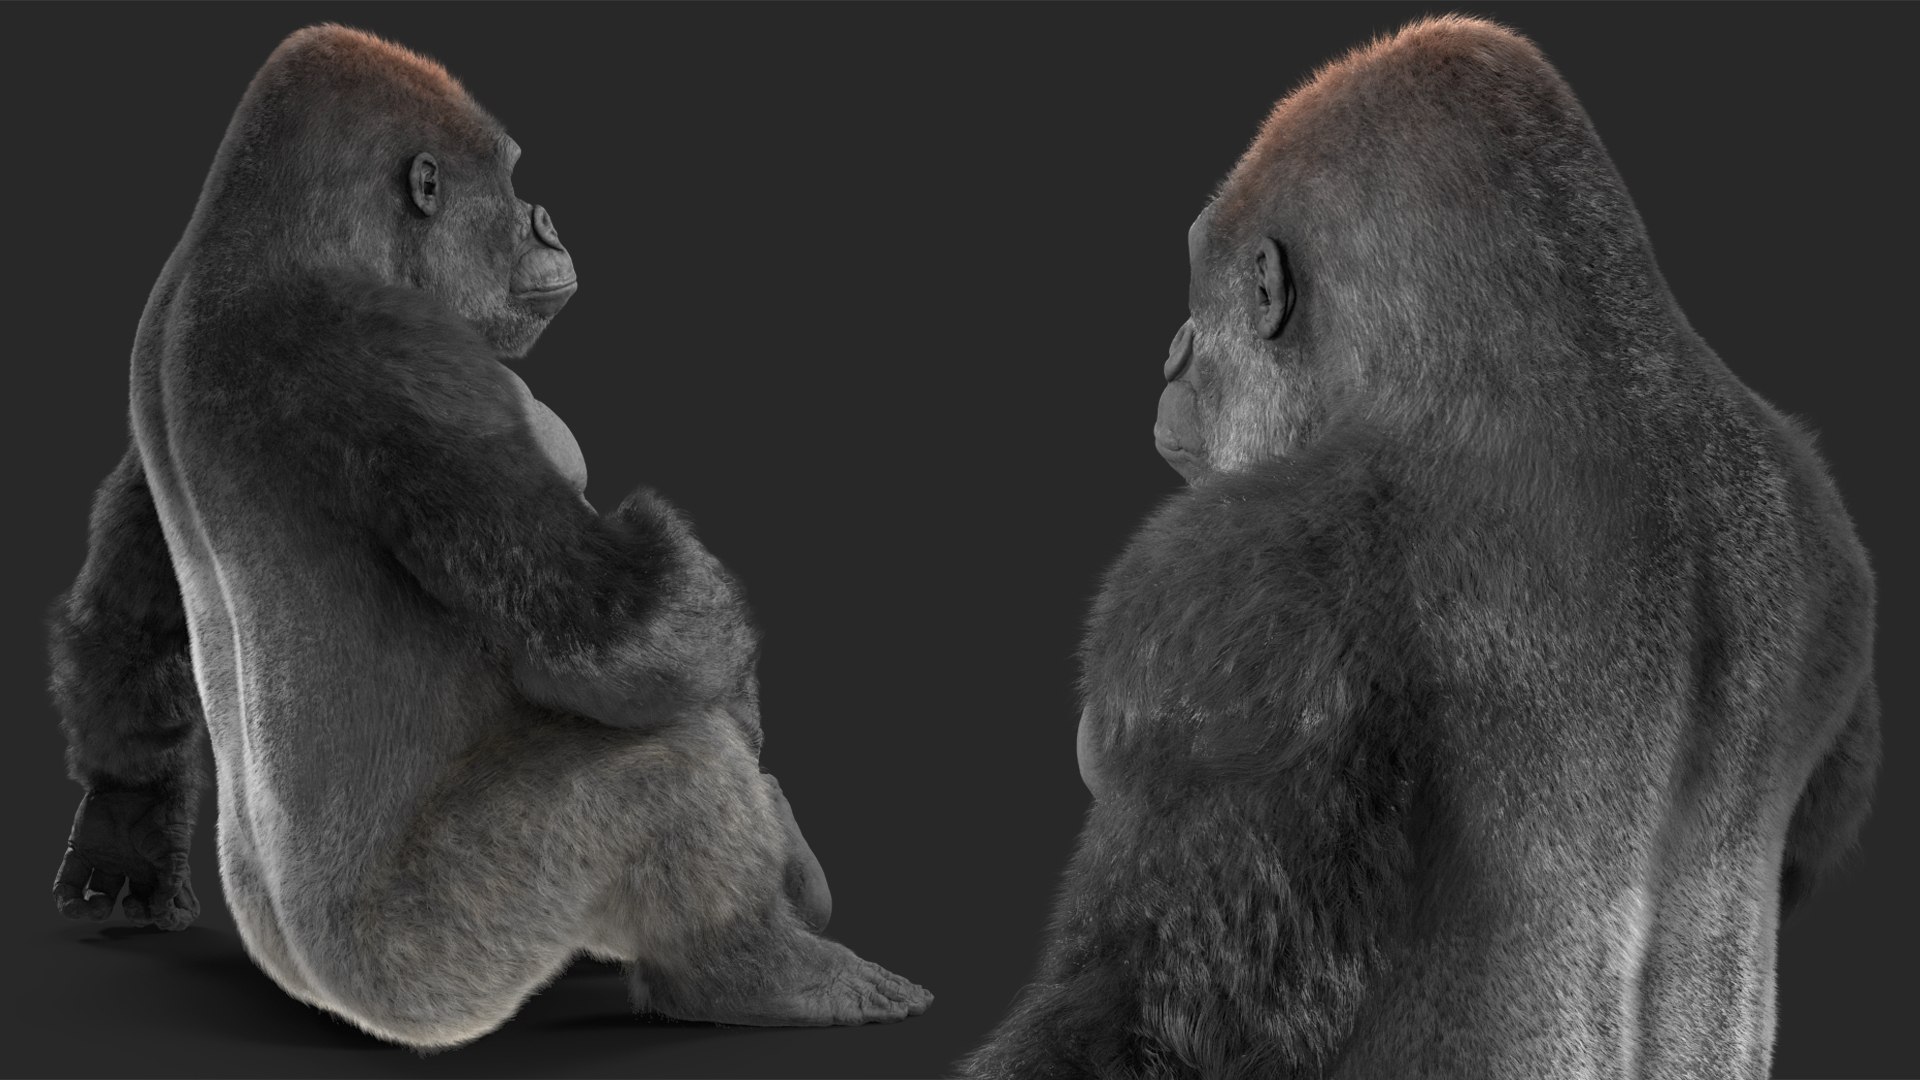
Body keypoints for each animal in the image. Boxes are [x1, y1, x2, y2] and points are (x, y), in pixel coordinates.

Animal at [47, 24, 927, 1049]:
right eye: (509, 184)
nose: (546, 221)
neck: (275, 236)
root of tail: (312, 977)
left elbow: (130, 605)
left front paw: (123, 823)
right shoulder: (401, 350)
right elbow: (628, 630)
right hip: (433, 962)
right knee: (667, 771)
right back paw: (751, 971)